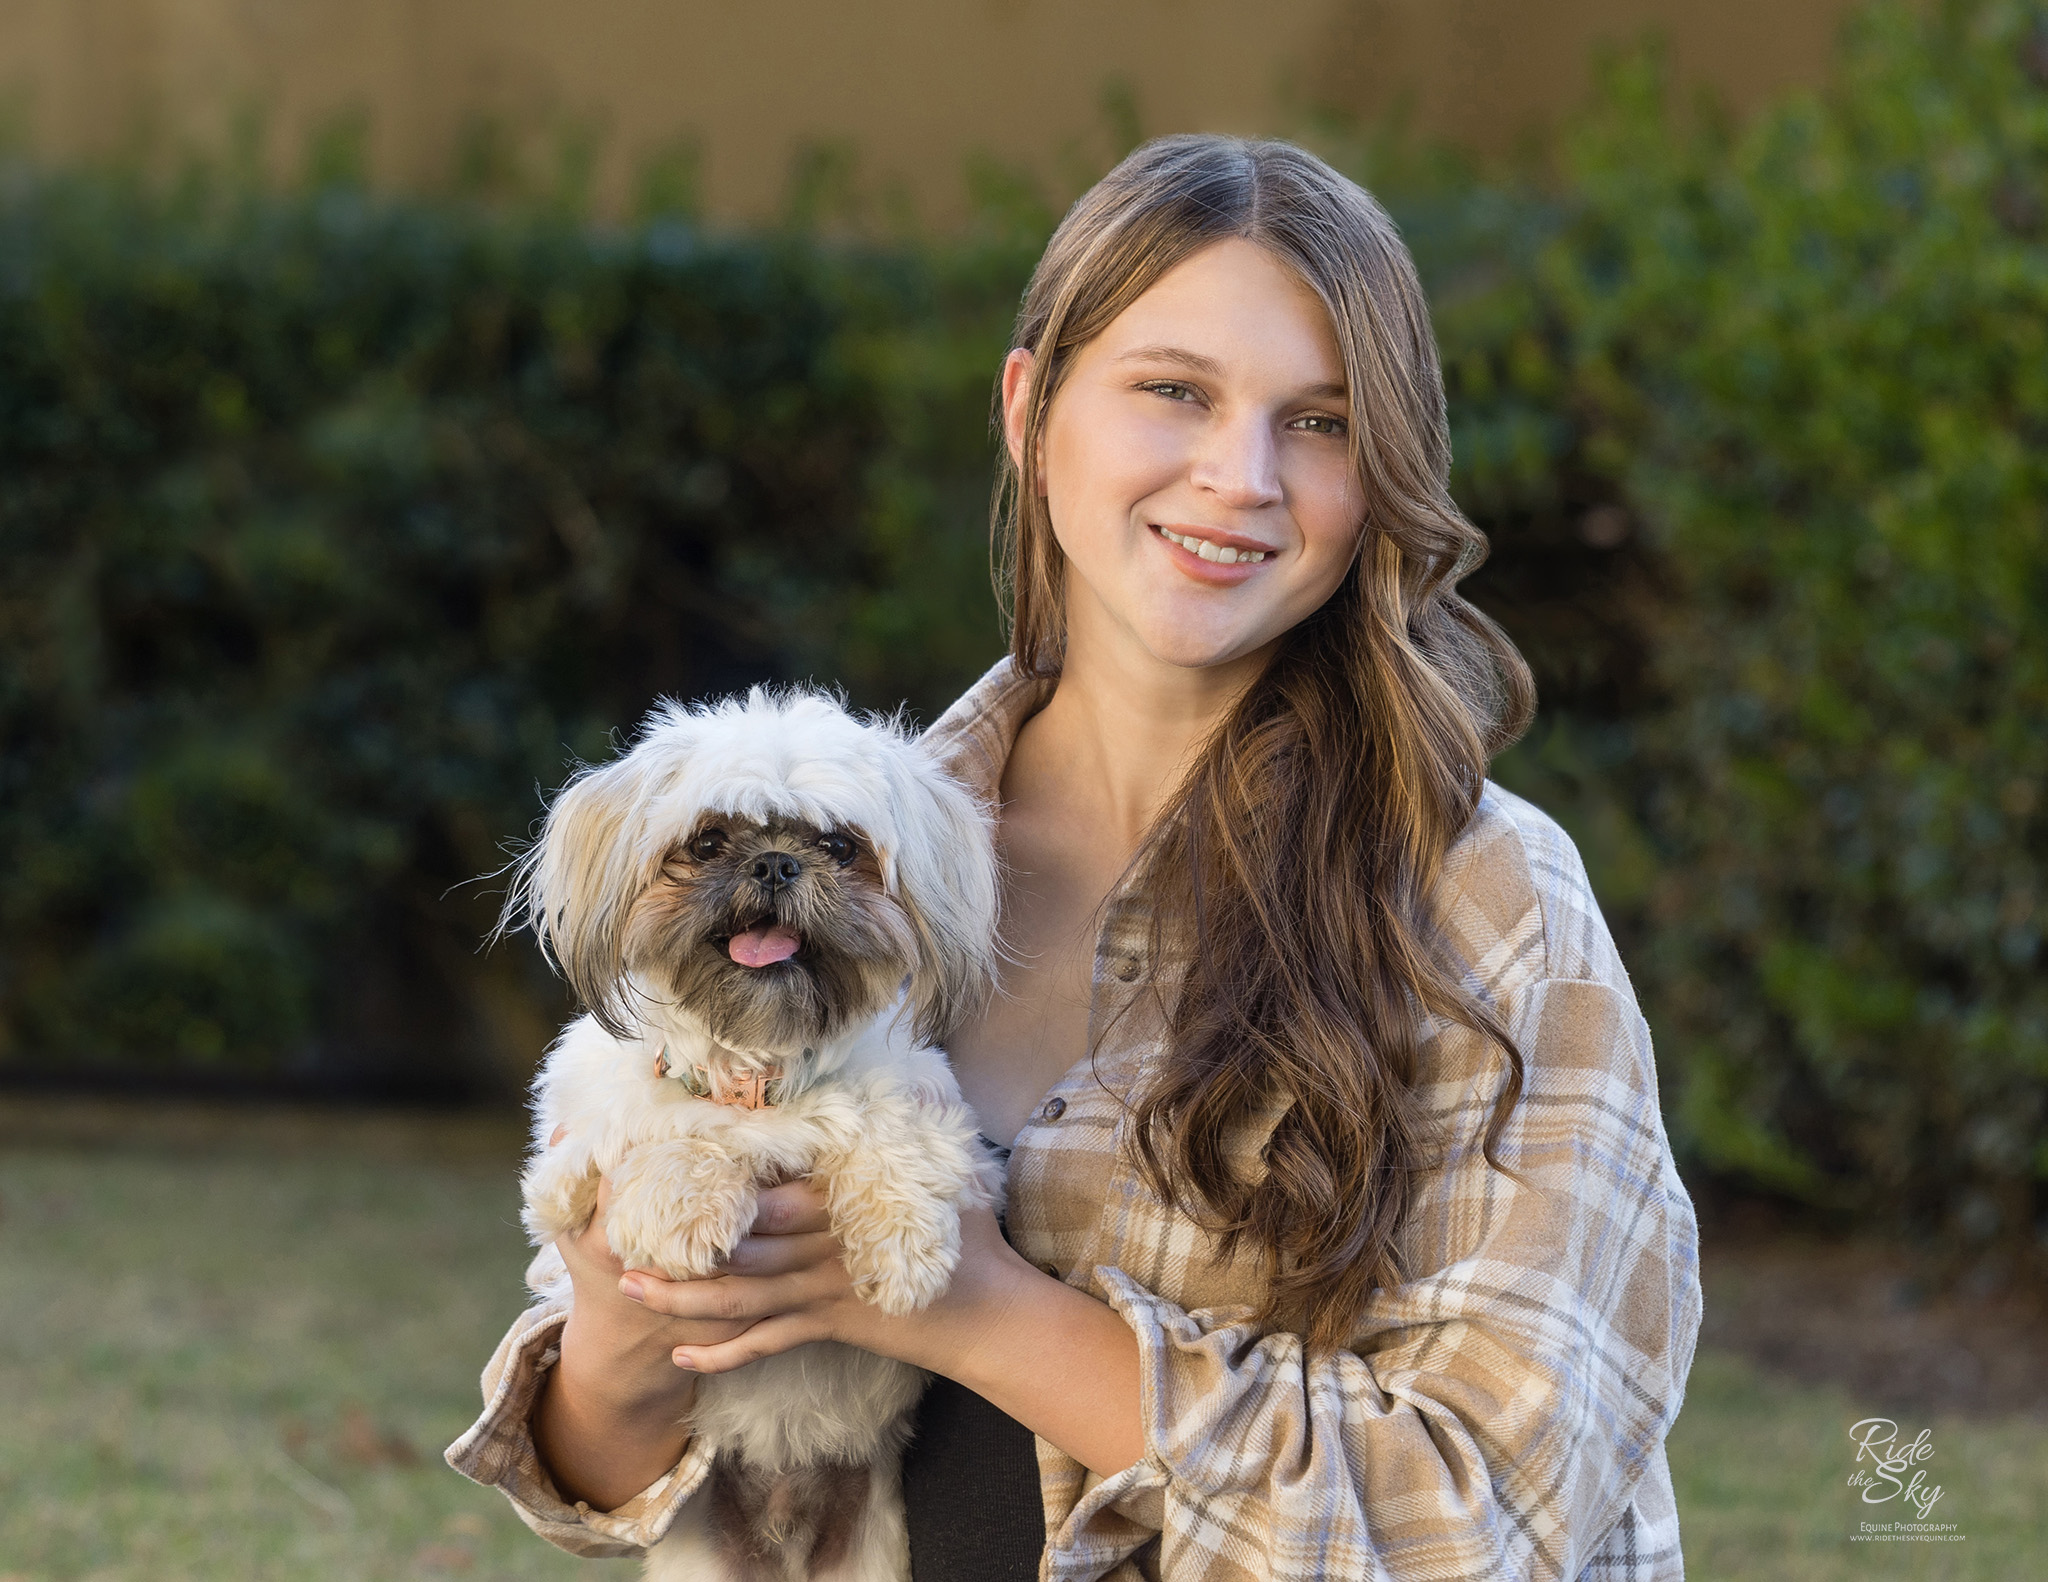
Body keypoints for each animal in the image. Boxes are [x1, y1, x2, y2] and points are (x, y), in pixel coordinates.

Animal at [503, 688, 999, 1581]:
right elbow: (671, 1125)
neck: (760, 1070)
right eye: (708, 841)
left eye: (838, 846)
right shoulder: (567, 1172)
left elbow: (889, 1128)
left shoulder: (952, 1135)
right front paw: (681, 1198)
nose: (773, 864)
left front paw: (901, 1249)